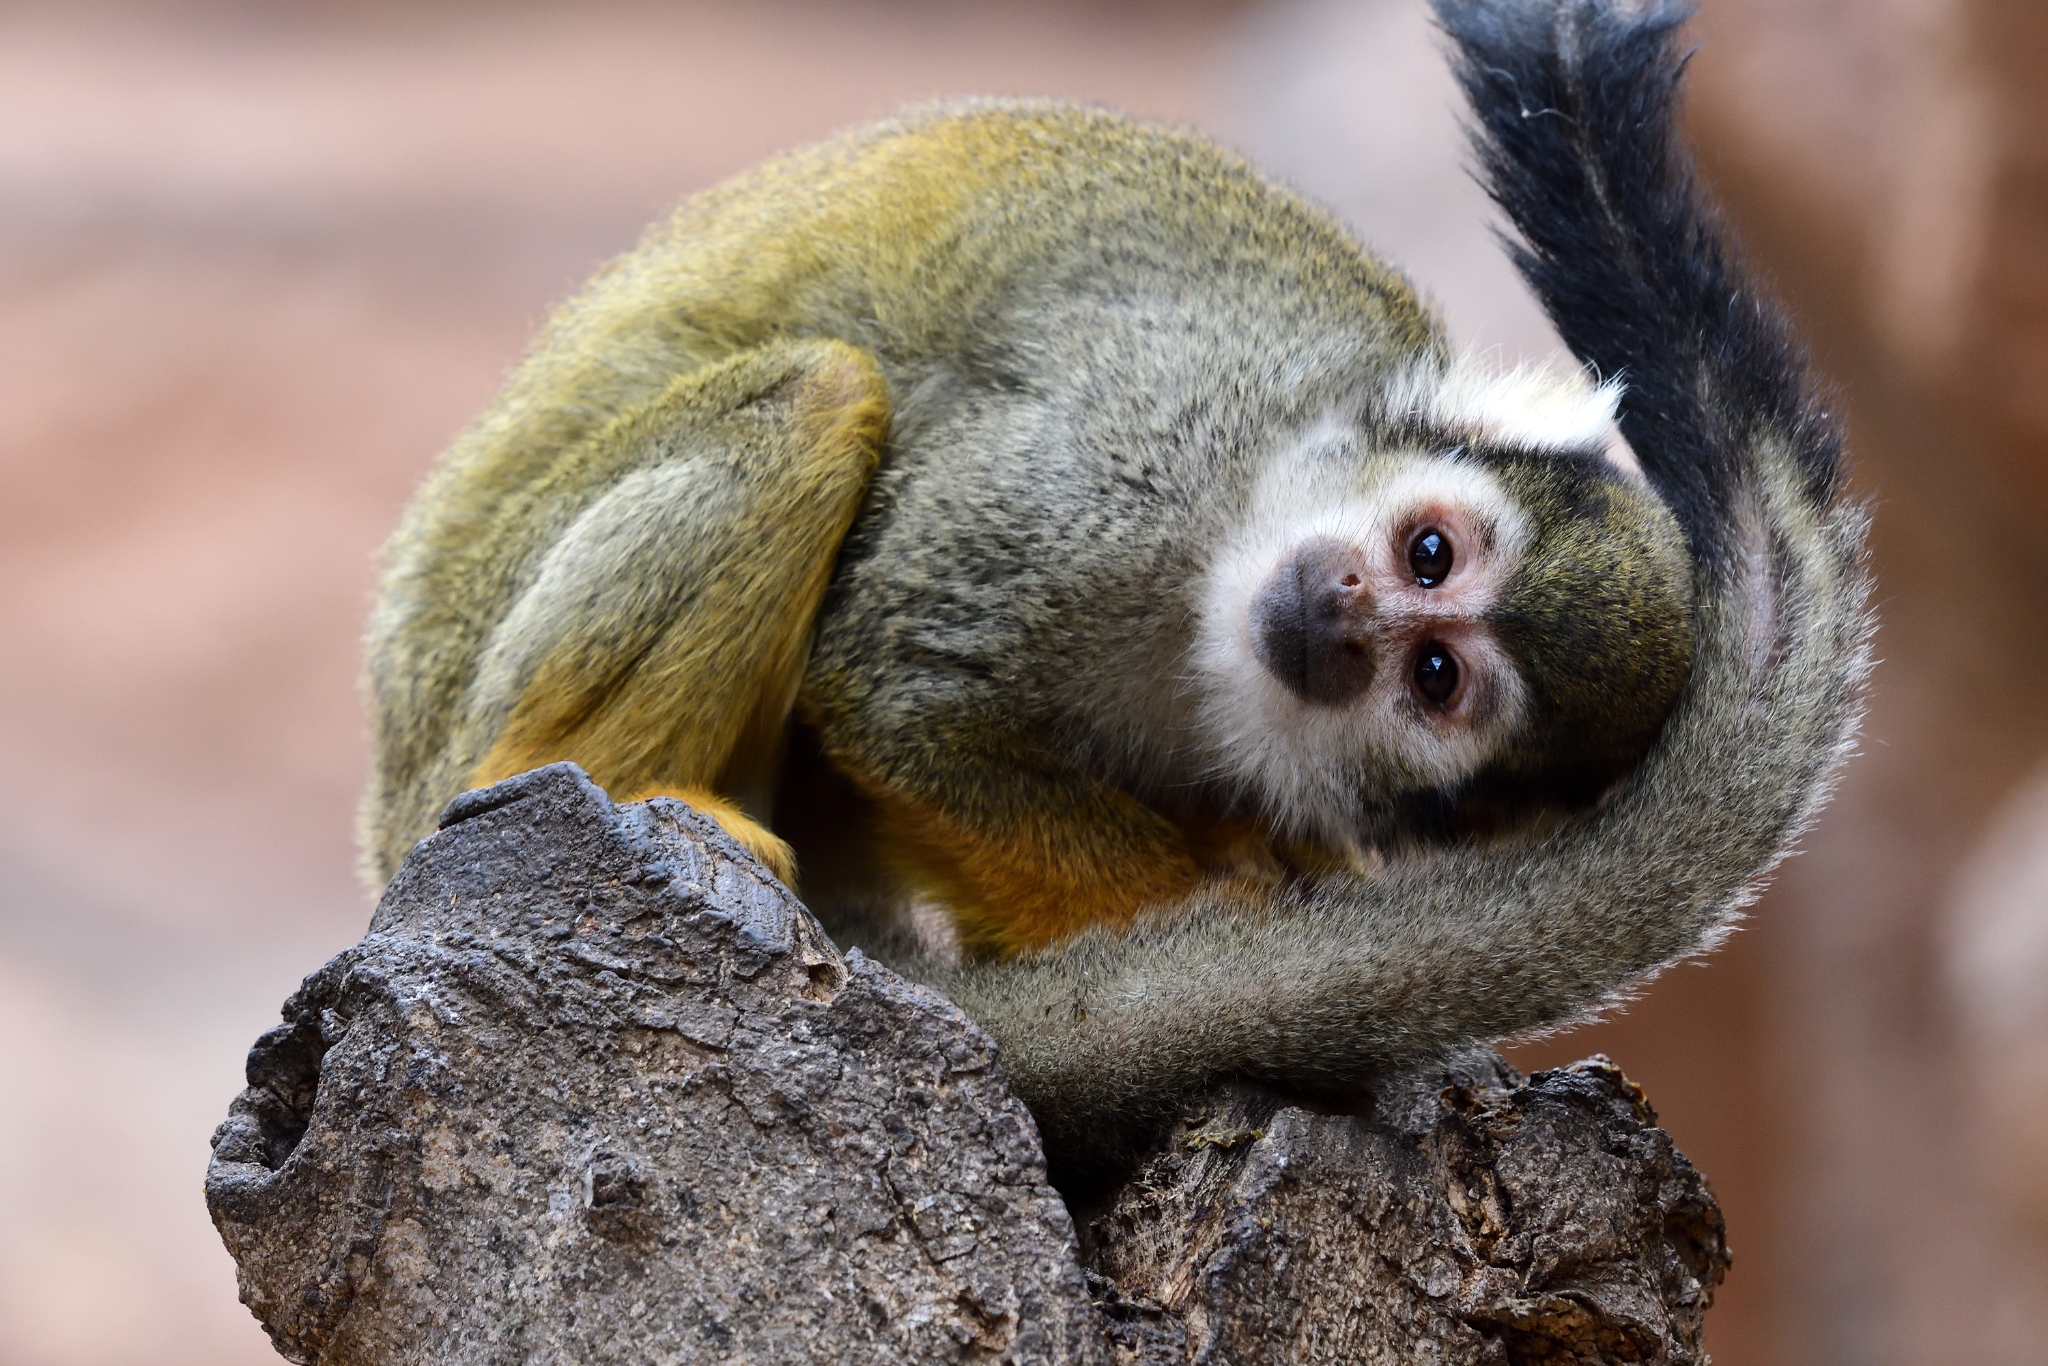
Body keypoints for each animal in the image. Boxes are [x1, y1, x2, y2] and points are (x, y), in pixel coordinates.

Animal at [361, 0, 1868, 1184]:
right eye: (1427, 554)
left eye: (1435, 676)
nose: (1338, 613)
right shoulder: (1141, 450)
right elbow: (896, 681)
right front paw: (1217, 911)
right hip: (472, 685)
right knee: (818, 396)